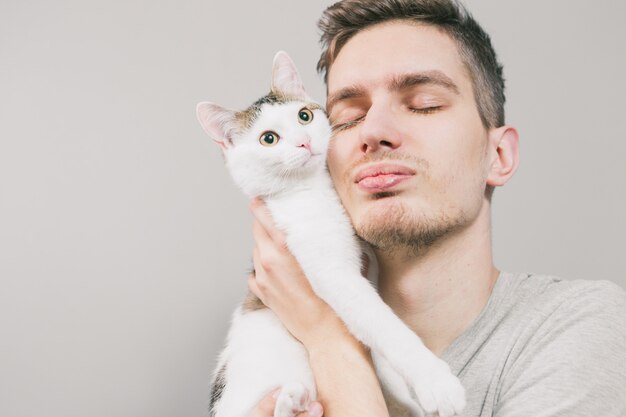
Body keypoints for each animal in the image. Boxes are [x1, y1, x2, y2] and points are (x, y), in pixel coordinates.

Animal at [195, 52, 464, 416]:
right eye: (268, 138)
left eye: (304, 115)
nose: (304, 141)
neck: (314, 189)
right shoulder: (332, 272)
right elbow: (384, 325)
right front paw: (435, 382)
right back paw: (290, 401)